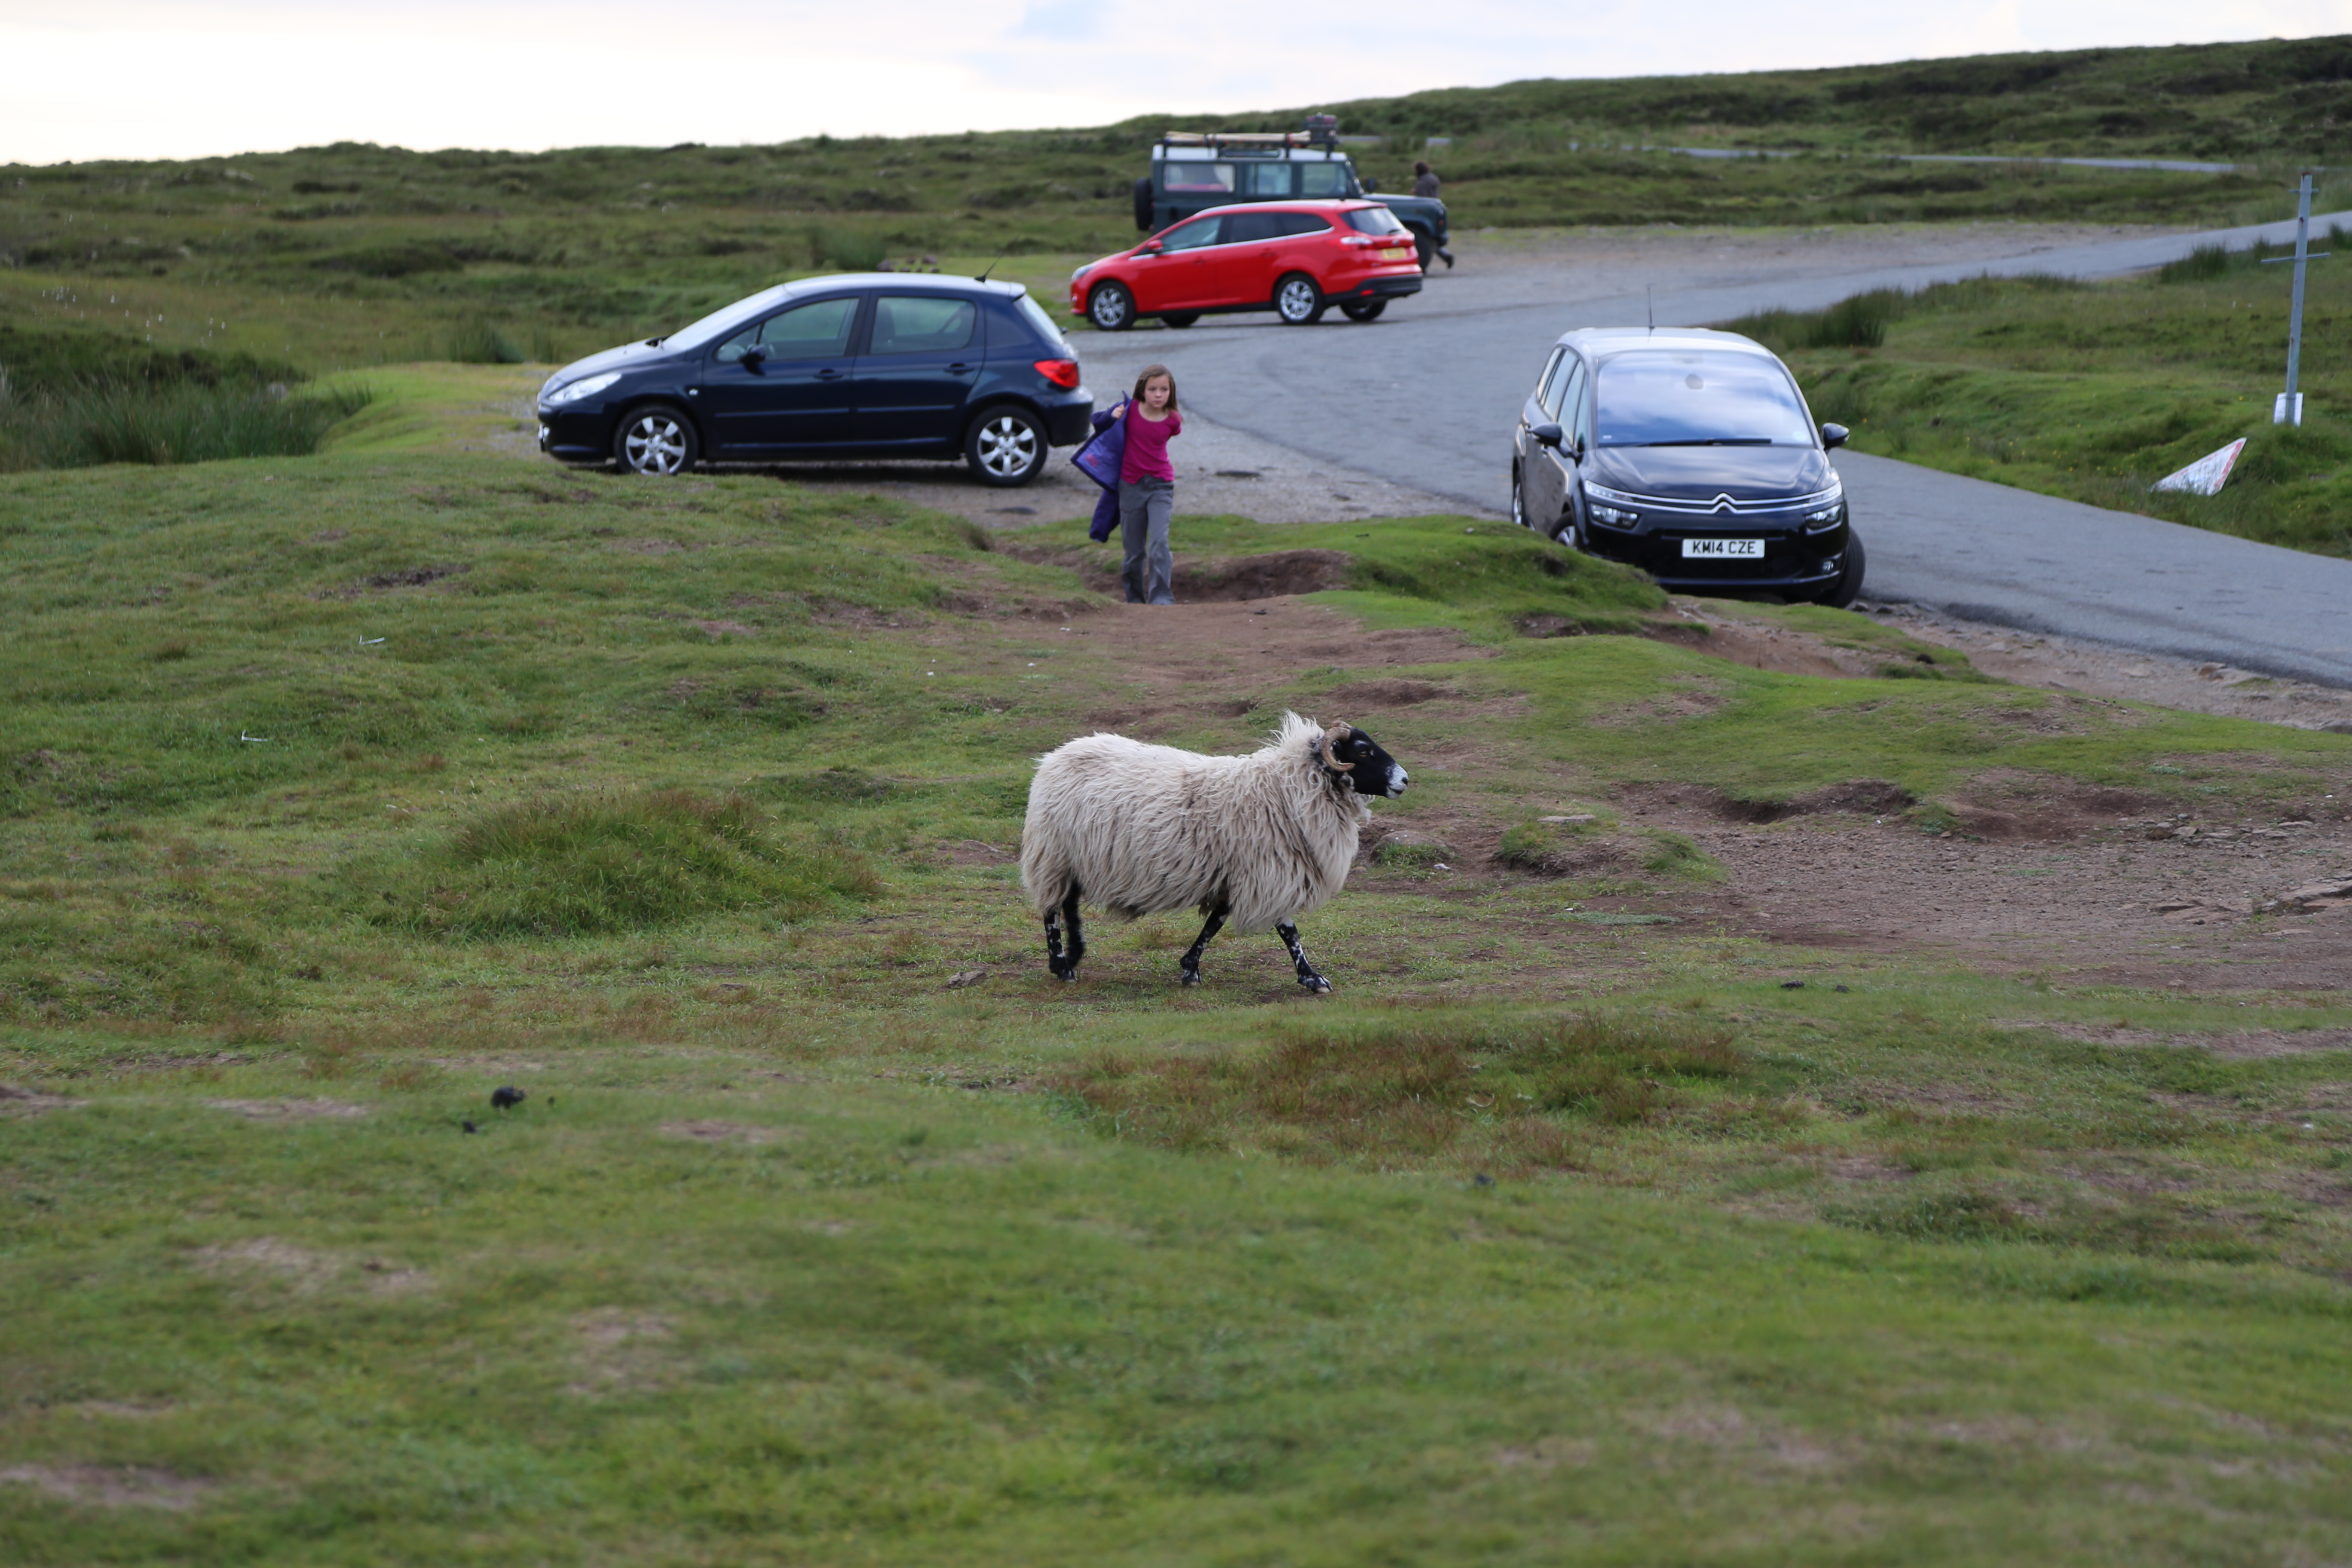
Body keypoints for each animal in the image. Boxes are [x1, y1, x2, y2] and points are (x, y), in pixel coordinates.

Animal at [1020, 714, 1402, 992]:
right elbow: (1288, 931)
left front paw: (1190, 968)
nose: (1405, 780)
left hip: (1075, 857)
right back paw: (1061, 965)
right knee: (1053, 910)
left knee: (1069, 904)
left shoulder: (1237, 871)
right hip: (1054, 853)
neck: (1285, 789)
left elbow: (1215, 921)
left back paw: (1074, 956)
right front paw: (1312, 979)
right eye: (1363, 751)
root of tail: (1054, 757)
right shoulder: (1267, 869)